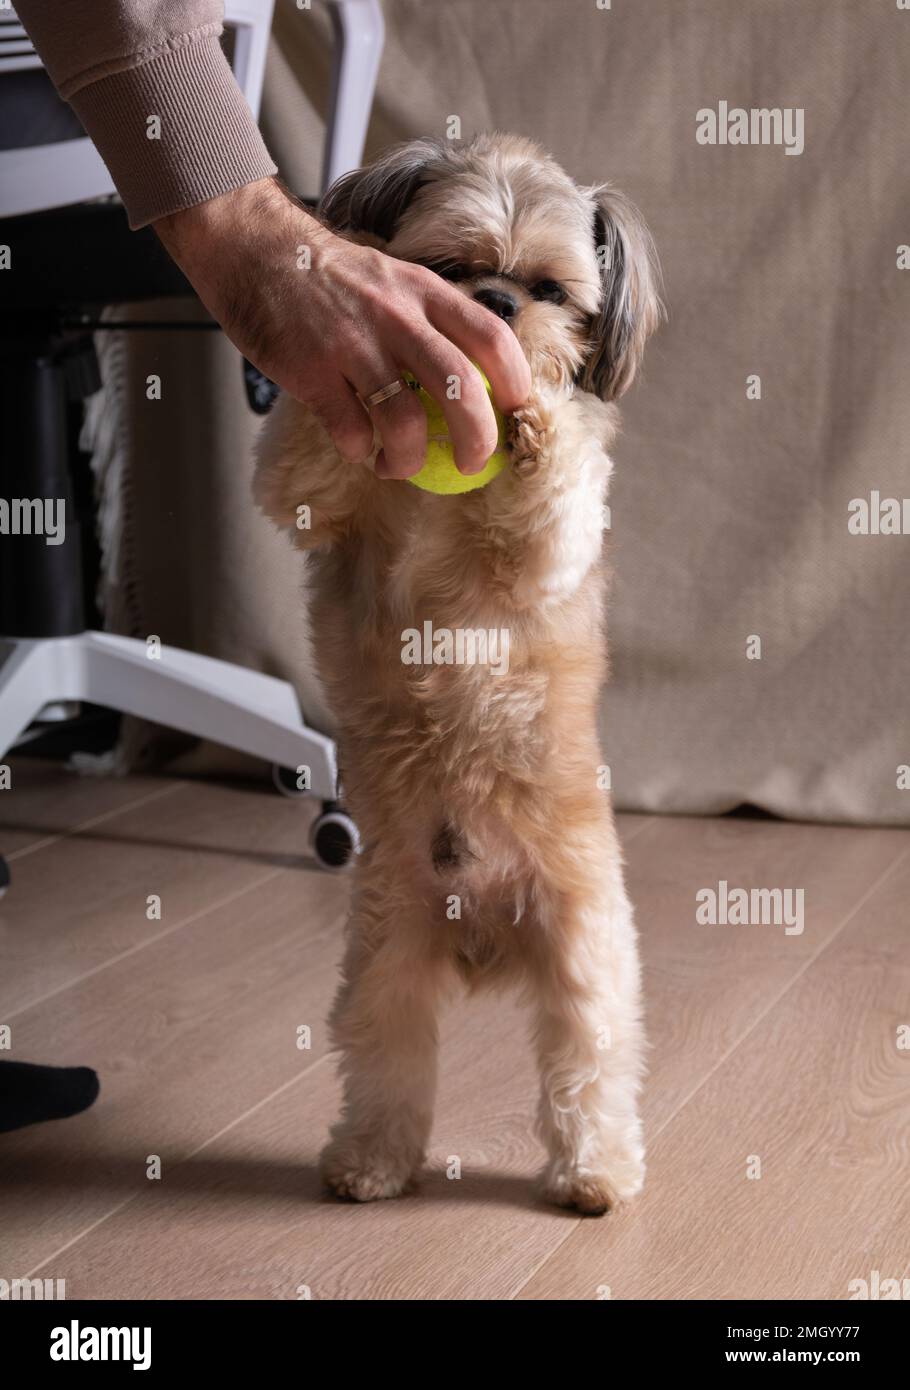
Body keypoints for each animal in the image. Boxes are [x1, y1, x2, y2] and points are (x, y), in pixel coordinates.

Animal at [255, 135, 661, 1212]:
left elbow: (549, 494)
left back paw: (595, 1173)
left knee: (588, 1069)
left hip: (583, 958)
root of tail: (482, 932)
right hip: (383, 964)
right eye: (449, 267)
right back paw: (368, 1162)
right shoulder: (312, 496)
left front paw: (540, 414)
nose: (499, 304)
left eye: (551, 289)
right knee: (390, 1065)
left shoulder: (548, 544)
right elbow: (304, 459)